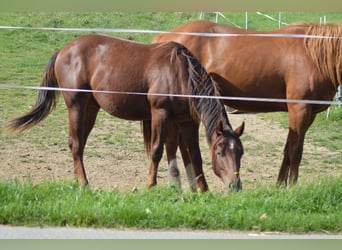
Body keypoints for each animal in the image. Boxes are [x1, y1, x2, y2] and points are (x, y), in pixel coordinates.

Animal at [6, 34, 244, 191]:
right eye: (221, 152)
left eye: (240, 152)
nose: (235, 185)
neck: (182, 74)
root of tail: (64, 50)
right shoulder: (160, 114)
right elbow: (157, 150)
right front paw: (150, 184)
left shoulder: (187, 122)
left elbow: (194, 155)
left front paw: (203, 190)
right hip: (76, 105)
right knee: (75, 143)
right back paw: (84, 183)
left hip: (91, 108)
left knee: (79, 145)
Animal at [154, 20, 342, 187]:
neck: (313, 56)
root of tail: (163, 38)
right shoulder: (300, 109)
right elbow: (295, 152)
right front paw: (293, 187)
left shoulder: (308, 115)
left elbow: (288, 150)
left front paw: (280, 186)